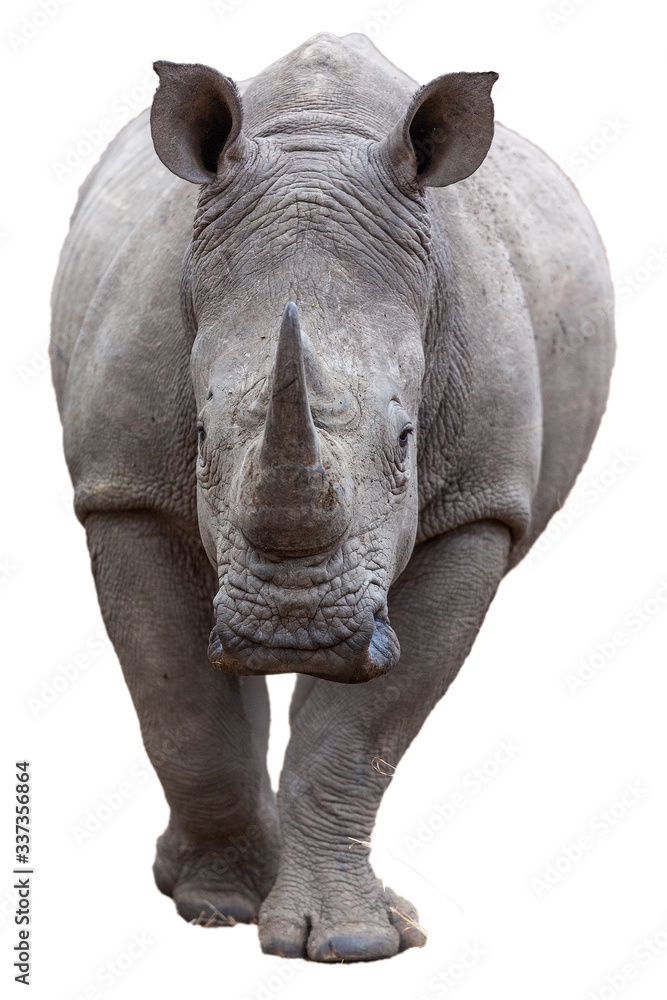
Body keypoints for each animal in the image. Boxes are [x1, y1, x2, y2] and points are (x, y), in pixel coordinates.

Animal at [50, 32, 614, 962]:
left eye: (406, 440)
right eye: (197, 434)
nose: (295, 630)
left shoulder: (476, 507)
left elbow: (361, 733)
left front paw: (349, 943)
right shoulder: (123, 489)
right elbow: (180, 708)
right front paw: (218, 906)